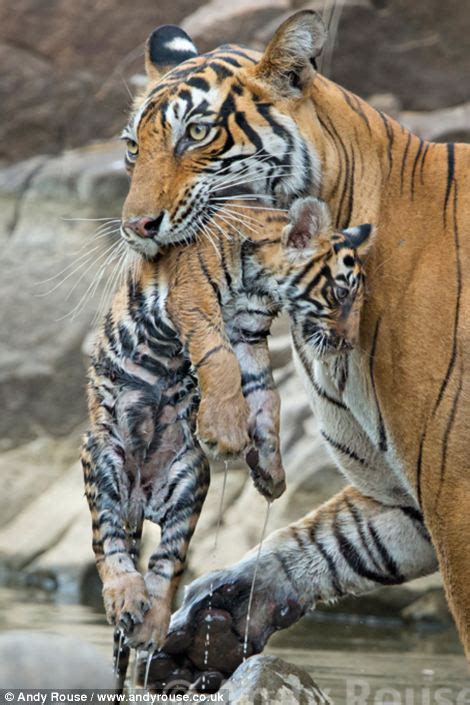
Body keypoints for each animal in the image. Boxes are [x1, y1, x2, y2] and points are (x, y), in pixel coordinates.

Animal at [81, 194, 373, 674]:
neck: (260, 284)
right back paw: (125, 597)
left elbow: (265, 394)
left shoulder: (249, 333)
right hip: (104, 457)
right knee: (109, 544)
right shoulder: (195, 305)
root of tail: (139, 500)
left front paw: (270, 473)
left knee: (168, 562)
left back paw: (151, 626)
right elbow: (220, 360)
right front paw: (228, 433)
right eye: (340, 293)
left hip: (189, 478)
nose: (349, 343)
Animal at [115, 9, 470, 680]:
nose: (135, 228)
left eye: (195, 133)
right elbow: (326, 541)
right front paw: (212, 615)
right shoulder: (402, 499)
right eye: (132, 147)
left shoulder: (454, 488)